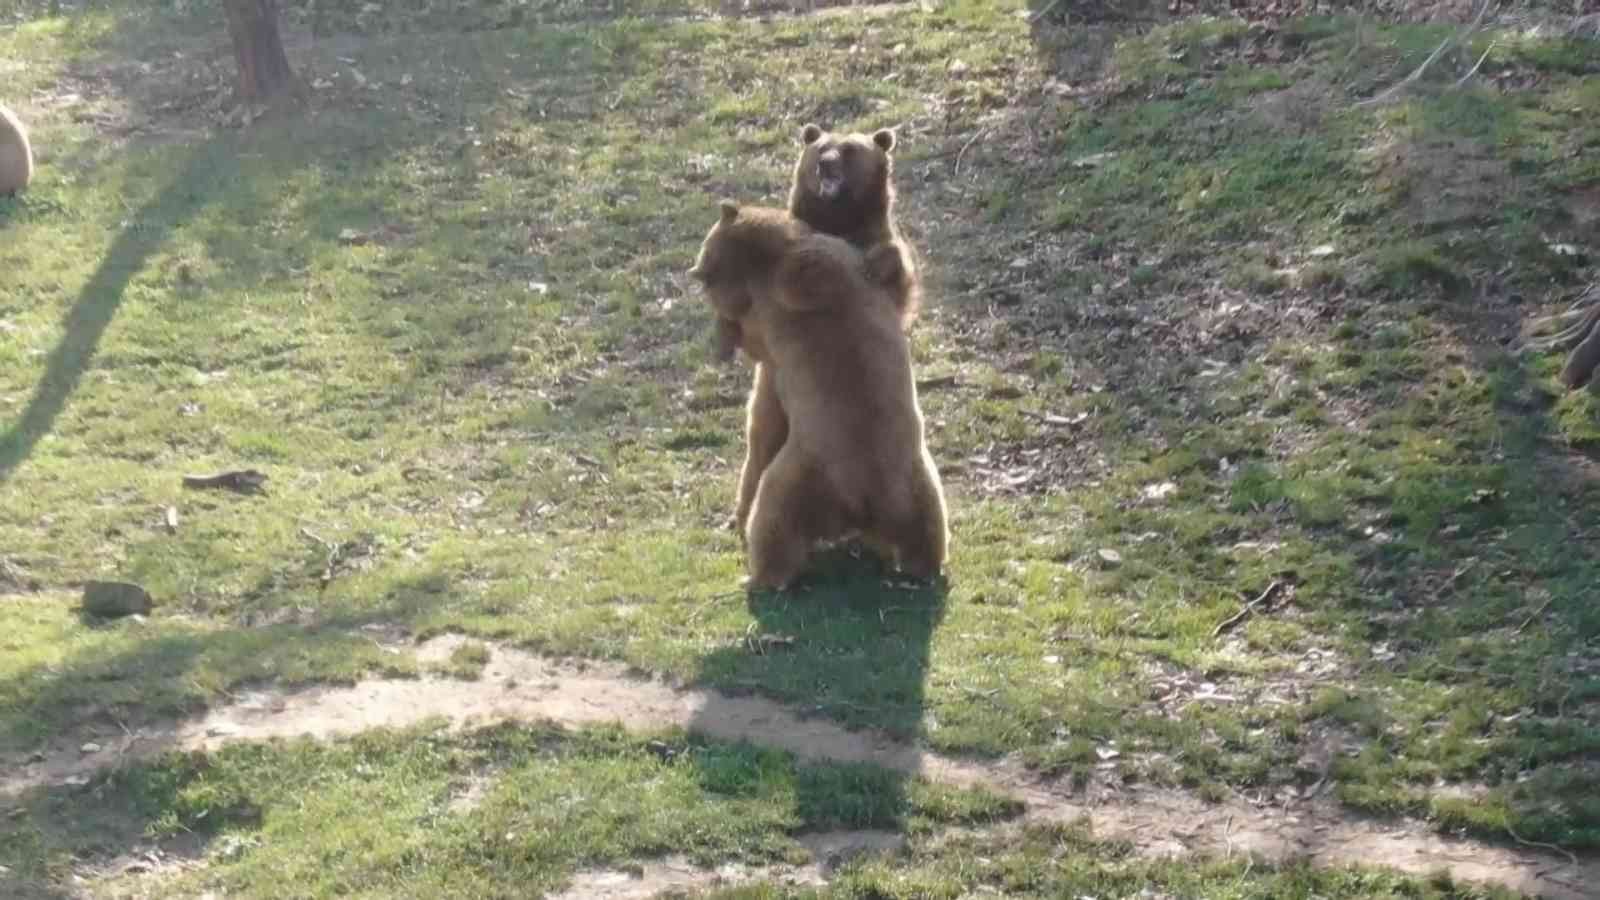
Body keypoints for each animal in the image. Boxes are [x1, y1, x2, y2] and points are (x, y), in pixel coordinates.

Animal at [691, 197, 947, 589]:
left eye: (707, 252)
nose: (696, 272)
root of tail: (860, 503)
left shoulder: (788, 291)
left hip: (801, 476)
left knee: (774, 520)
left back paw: (759, 575)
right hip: (915, 484)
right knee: (927, 526)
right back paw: (925, 564)